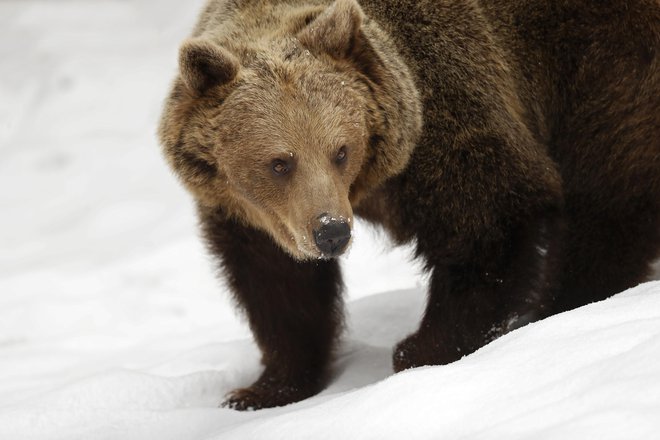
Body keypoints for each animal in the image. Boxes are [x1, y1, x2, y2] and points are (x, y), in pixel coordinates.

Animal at [160, 0, 660, 410]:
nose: (332, 231)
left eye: (340, 150)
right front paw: (264, 389)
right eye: (280, 162)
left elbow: (493, 219)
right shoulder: (250, 214)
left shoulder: (448, 117)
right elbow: (277, 285)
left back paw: (571, 302)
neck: (372, 185)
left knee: (607, 183)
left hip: (607, 62)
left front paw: (421, 350)